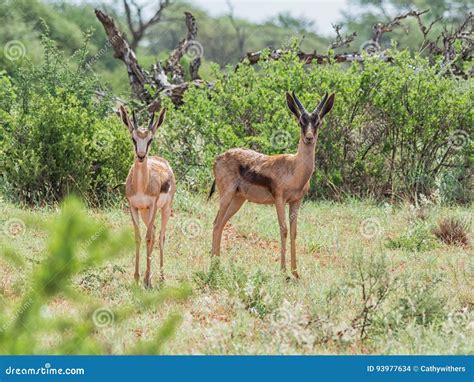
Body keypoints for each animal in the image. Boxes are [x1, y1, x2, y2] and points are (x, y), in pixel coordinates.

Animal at [118, 104, 176, 286]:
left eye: (150, 140)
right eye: (133, 139)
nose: (141, 156)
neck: (141, 186)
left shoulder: (153, 206)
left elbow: (149, 237)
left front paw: (146, 279)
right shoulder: (133, 207)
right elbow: (138, 237)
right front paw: (137, 277)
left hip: (164, 209)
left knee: (161, 236)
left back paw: (161, 276)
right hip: (145, 212)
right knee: (155, 230)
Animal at [209, 92, 336, 278]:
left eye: (318, 122)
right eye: (301, 122)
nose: (309, 138)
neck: (294, 168)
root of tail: (218, 157)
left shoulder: (296, 201)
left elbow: (294, 232)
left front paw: (295, 272)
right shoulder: (279, 199)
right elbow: (283, 229)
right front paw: (283, 271)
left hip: (238, 200)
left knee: (222, 223)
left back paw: (218, 263)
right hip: (226, 196)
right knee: (217, 222)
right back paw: (214, 265)